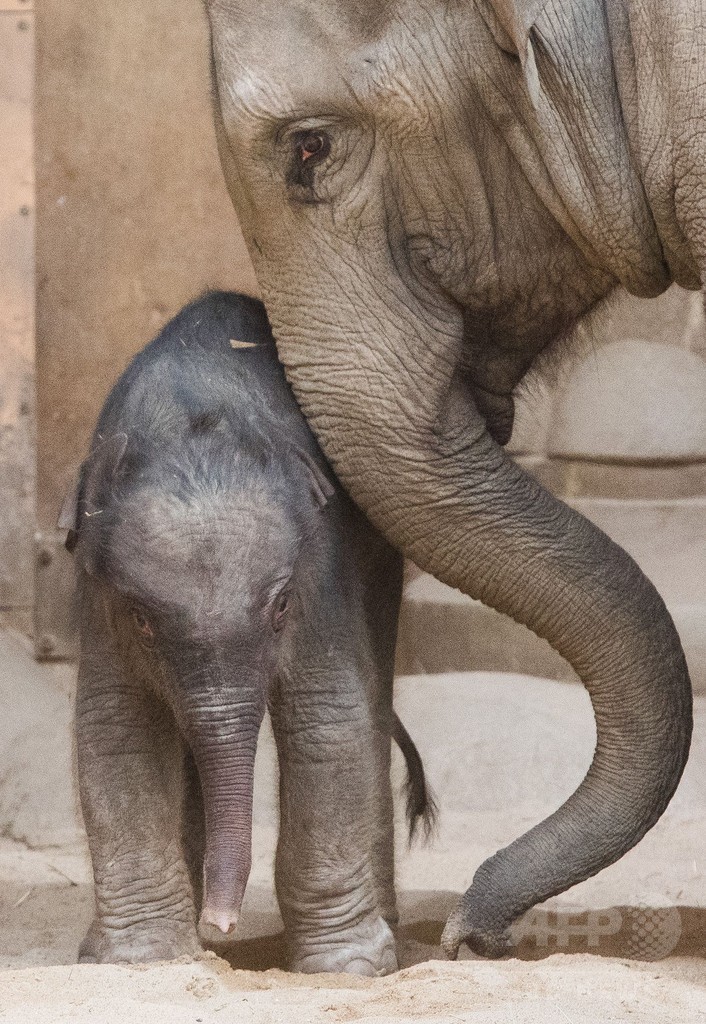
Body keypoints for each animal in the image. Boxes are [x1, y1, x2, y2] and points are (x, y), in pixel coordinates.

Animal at [61, 290, 430, 974]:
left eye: (280, 605)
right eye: (143, 619)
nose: (222, 921)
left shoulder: (319, 566)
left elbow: (325, 716)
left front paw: (345, 968)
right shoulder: (99, 593)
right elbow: (115, 723)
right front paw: (140, 958)